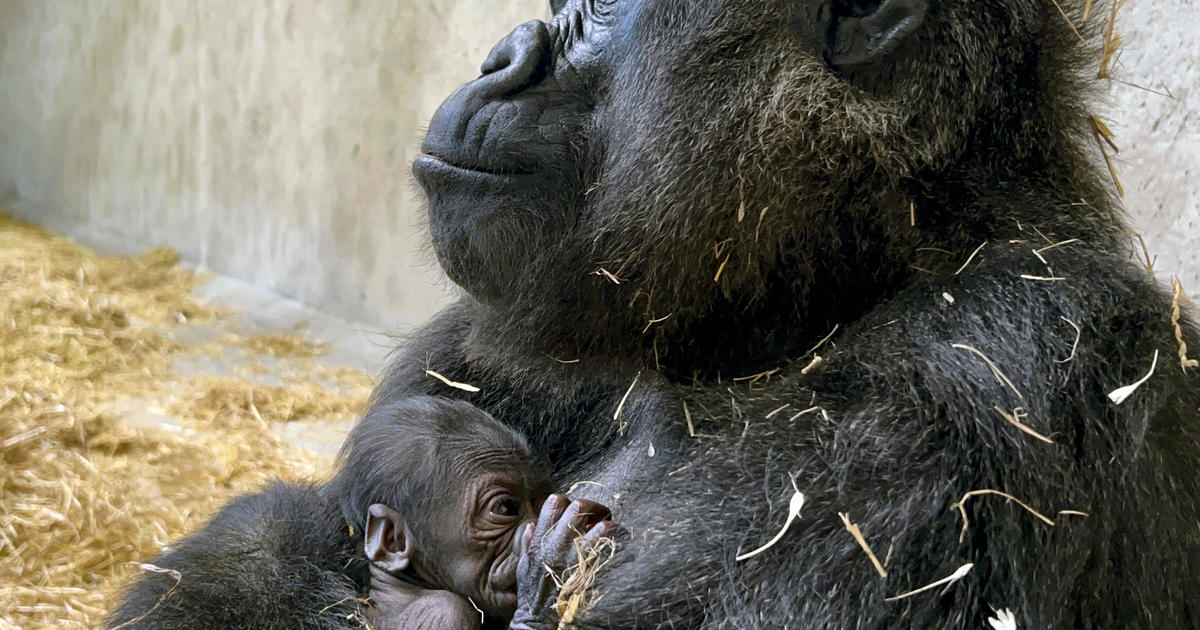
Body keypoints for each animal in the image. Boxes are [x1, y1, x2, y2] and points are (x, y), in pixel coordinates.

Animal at [331, 396, 619, 624]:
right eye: (505, 508)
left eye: (540, 503)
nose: (536, 525)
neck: (407, 585)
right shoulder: (444, 612)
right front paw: (548, 565)